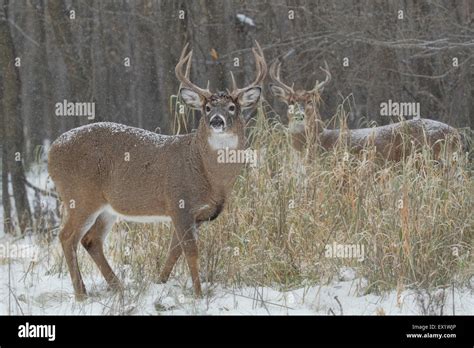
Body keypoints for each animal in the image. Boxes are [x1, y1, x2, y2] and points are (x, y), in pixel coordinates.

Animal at [50, 41, 268, 300]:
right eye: (207, 107)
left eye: (233, 107)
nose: (217, 120)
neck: (208, 175)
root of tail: (51, 151)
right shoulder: (179, 202)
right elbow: (190, 251)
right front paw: (198, 294)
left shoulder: (195, 215)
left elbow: (174, 251)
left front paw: (160, 283)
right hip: (80, 196)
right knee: (67, 237)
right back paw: (81, 294)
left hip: (107, 207)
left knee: (91, 240)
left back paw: (117, 287)